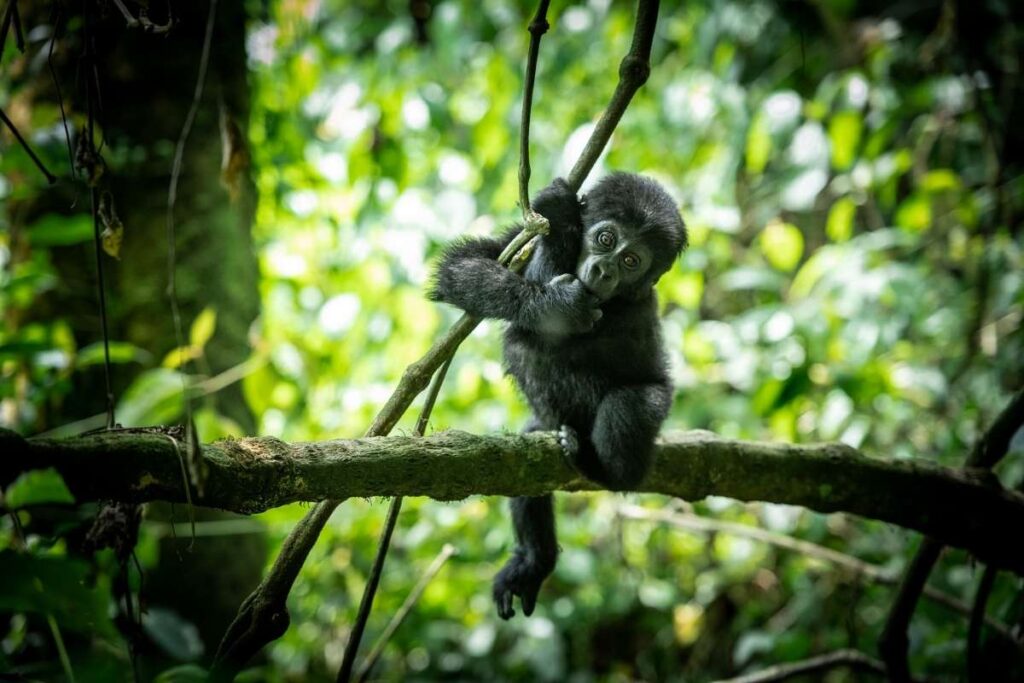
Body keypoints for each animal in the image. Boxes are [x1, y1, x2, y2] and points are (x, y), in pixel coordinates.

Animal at [429, 172, 687, 619]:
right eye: (605, 239)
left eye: (631, 261)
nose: (602, 270)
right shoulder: (520, 241)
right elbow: (462, 265)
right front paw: (561, 215)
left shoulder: (631, 307)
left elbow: (547, 339)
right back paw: (536, 559)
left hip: (653, 406)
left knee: (628, 411)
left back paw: (598, 466)